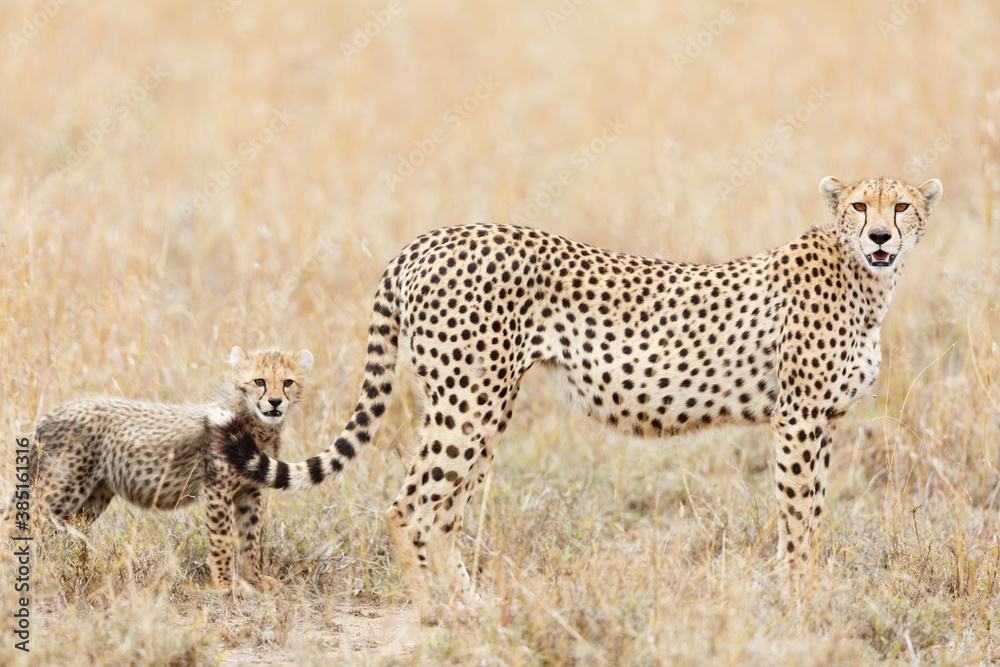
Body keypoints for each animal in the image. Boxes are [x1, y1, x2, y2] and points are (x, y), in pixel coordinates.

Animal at [13, 346, 312, 594]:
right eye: (259, 381)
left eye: (287, 382)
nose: (275, 402)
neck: (254, 423)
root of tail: (47, 416)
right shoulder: (216, 490)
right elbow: (223, 540)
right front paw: (225, 585)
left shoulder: (249, 492)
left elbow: (250, 537)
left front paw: (254, 580)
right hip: (63, 490)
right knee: (25, 520)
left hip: (91, 499)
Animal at [218, 176, 942, 622]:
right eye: (860, 206)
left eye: (901, 206)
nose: (881, 237)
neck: (865, 280)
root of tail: (430, 238)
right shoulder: (798, 419)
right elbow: (799, 518)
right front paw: (800, 601)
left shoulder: (824, 421)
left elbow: (810, 513)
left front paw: (803, 593)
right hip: (467, 404)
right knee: (408, 505)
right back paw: (430, 610)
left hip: (484, 407)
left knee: (442, 513)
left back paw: (468, 606)